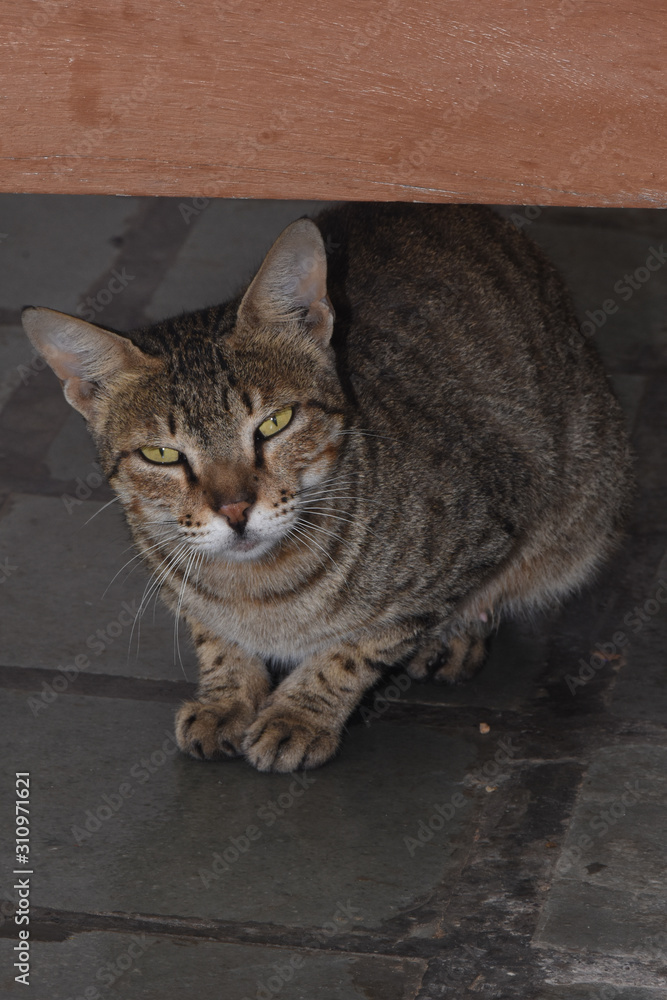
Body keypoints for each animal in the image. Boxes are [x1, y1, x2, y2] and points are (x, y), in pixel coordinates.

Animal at [20, 201, 636, 772]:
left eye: (274, 423)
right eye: (162, 454)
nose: (235, 509)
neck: (257, 589)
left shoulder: (482, 526)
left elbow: (359, 645)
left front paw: (298, 714)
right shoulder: (173, 576)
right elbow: (211, 634)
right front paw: (227, 695)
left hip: (586, 498)